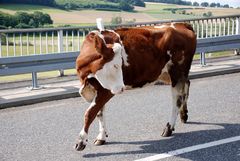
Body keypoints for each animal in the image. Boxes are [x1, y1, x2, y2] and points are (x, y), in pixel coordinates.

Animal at [75, 22, 197, 151]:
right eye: (115, 65)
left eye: (120, 64)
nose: (122, 88)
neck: (86, 76)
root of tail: (180, 24)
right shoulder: (95, 89)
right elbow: (99, 112)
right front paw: (101, 137)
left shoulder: (106, 90)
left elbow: (90, 113)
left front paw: (81, 141)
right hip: (174, 74)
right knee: (187, 85)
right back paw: (184, 115)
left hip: (176, 72)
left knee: (177, 99)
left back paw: (168, 128)